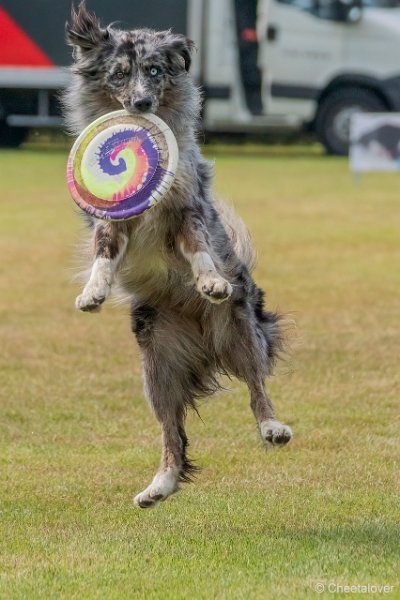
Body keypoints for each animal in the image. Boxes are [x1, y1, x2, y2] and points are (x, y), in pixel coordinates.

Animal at [64, 1, 292, 506]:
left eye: (155, 70)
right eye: (119, 74)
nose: (140, 105)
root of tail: (204, 346)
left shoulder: (187, 208)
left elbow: (200, 246)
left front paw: (209, 280)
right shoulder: (113, 219)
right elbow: (104, 251)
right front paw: (93, 291)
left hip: (240, 332)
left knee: (256, 388)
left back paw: (272, 426)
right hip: (157, 368)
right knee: (172, 432)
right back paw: (159, 485)